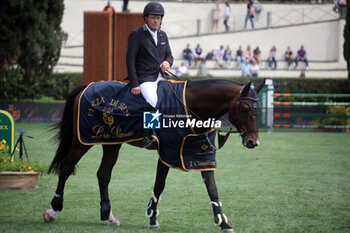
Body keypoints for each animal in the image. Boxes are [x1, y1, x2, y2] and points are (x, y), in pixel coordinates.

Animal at [43, 78, 266, 233]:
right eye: (245, 108)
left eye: (258, 110)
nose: (253, 142)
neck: (190, 107)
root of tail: (86, 87)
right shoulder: (168, 151)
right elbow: (159, 185)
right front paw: (152, 218)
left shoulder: (200, 154)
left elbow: (212, 189)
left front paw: (224, 223)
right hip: (82, 141)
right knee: (66, 168)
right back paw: (53, 210)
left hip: (112, 143)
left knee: (103, 175)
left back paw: (109, 216)